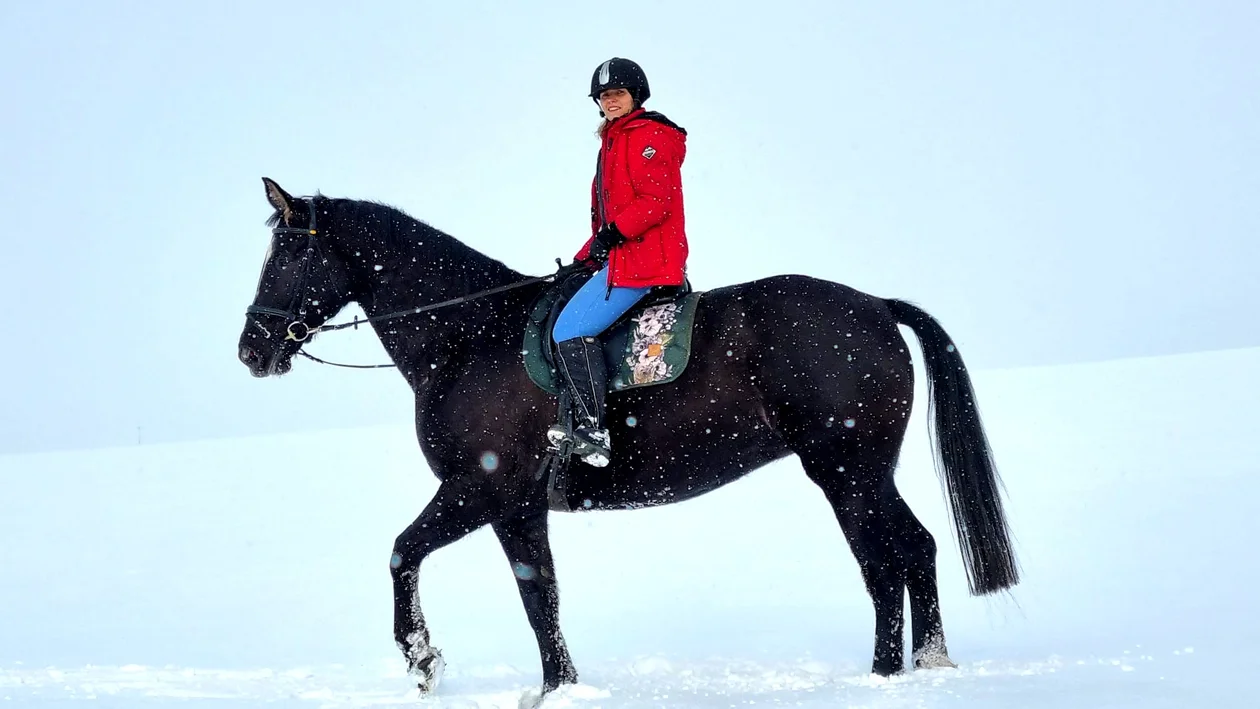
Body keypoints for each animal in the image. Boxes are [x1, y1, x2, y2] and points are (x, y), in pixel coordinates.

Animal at [240, 178, 1018, 700]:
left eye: (286, 255)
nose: (252, 349)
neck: (468, 335)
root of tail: (876, 308)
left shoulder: (481, 487)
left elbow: (404, 551)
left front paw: (423, 659)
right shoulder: (517, 506)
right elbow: (541, 598)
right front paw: (561, 688)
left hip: (845, 471)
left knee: (885, 561)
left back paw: (884, 675)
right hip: (865, 471)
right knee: (916, 548)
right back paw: (930, 664)